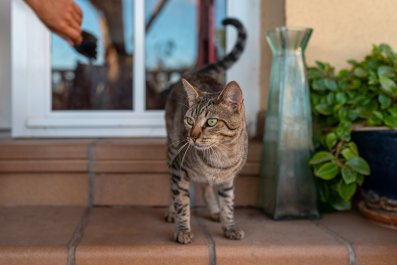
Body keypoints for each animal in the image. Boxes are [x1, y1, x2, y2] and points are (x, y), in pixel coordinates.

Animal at [163, 18, 244, 243]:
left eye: (211, 122)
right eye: (189, 120)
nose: (191, 137)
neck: (220, 157)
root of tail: (198, 71)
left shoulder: (227, 179)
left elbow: (228, 203)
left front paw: (229, 225)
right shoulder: (179, 169)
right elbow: (181, 201)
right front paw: (183, 229)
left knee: (207, 186)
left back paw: (214, 210)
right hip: (171, 149)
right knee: (172, 188)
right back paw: (171, 212)